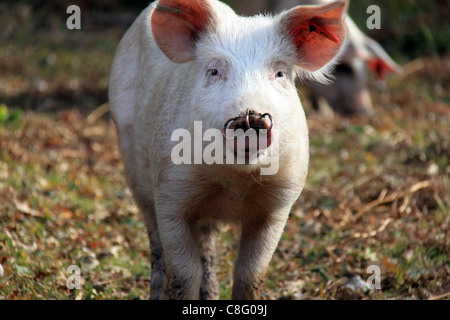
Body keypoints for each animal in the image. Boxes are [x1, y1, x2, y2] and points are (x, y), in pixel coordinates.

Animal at [109, 0, 348, 300]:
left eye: (280, 73)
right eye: (214, 71)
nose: (251, 117)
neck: (235, 184)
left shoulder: (279, 204)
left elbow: (250, 274)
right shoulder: (170, 194)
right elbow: (183, 275)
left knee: (206, 246)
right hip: (134, 170)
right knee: (157, 247)